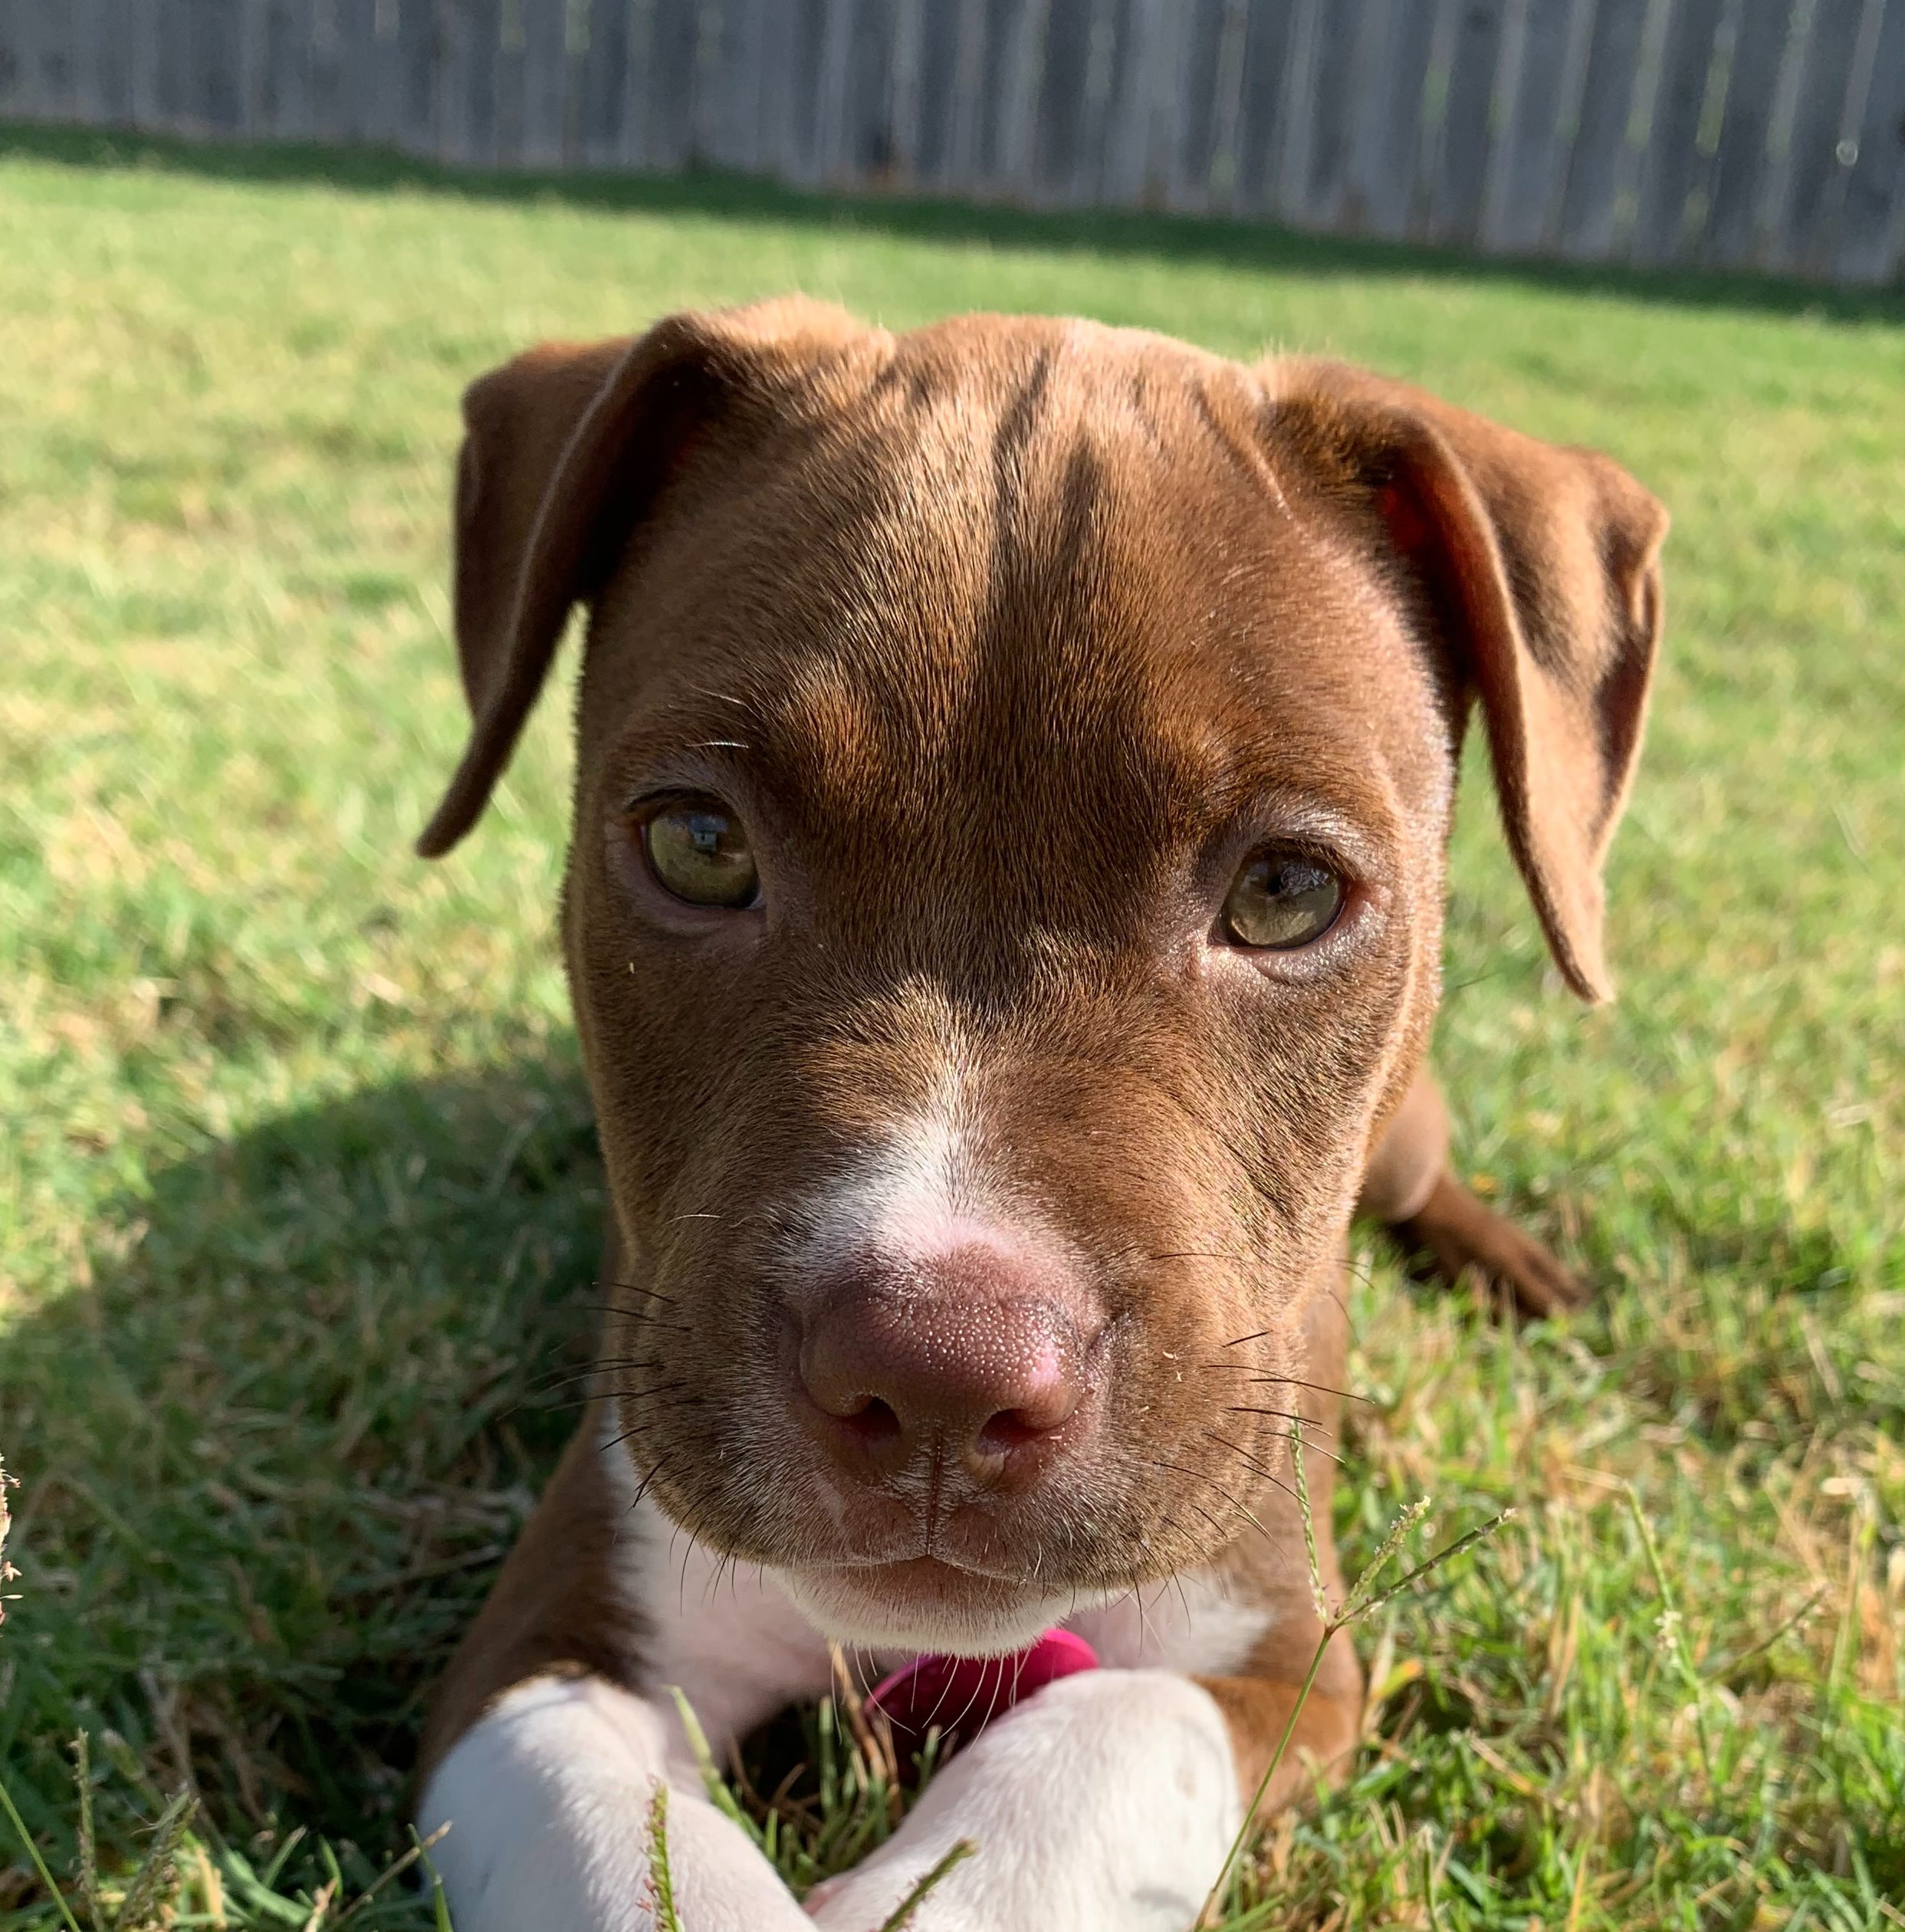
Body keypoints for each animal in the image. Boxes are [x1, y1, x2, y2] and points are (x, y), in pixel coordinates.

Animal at [407, 301, 1654, 1932]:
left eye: (1284, 892)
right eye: (696, 845)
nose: (933, 1370)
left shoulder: (1282, 1657)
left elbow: (1115, 1725)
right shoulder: (549, 1645)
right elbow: (630, 1853)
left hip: (1403, 1145)